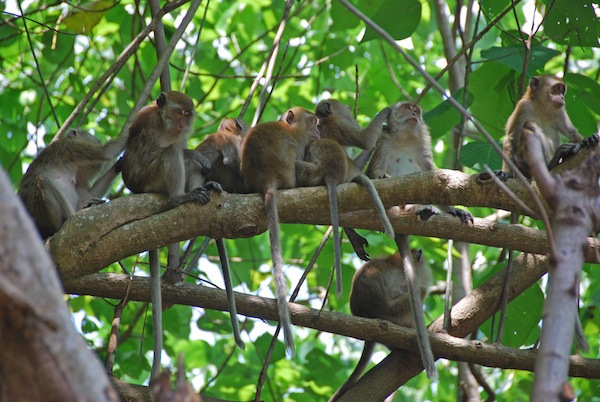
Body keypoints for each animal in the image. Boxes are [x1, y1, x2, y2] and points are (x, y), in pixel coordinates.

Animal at [119, 91, 230, 376]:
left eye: (187, 115)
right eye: (179, 113)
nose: (182, 124)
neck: (164, 123)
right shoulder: (150, 125)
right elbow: (159, 151)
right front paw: (192, 151)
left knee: (187, 163)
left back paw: (201, 190)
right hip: (150, 181)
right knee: (173, 153)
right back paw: (179, 197)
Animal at [366, 101, 474, 380]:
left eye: (417, 110)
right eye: (407, 108)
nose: (415, 113)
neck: (404, 141)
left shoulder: (423, 148)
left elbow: (433, 180)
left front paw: (453, 209)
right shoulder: (382, 142)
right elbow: (375, 172)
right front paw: (380, 177)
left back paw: (426, 210)